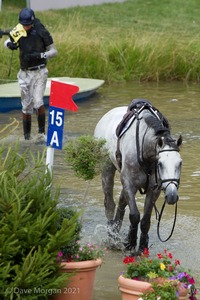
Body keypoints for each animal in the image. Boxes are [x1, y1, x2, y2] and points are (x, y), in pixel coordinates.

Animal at [94, 99, 182, 254]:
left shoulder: (154, 189)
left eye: (180, 163)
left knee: (122, 202)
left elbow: (145, 220)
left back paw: (116, 231)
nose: (172, 196)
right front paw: (130, 243)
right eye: (160, 164)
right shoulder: (129, 183)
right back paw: (112, 237)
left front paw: (142, 247)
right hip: (107, 170)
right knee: (110, 204)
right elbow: (134, 216)